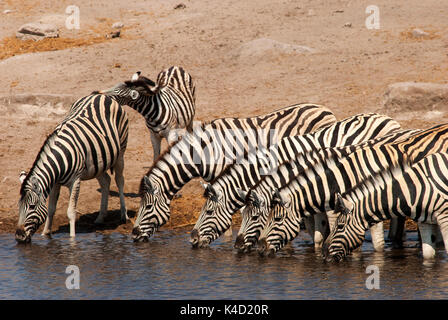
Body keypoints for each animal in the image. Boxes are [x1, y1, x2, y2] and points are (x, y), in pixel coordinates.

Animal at [15, 94, 128, 242]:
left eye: (32, 207)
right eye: (19, 206)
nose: (18, 236)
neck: (59, 161)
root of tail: (100, 95)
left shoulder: (75, 181)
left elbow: (71, 212)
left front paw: (72, 240)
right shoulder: (55, 182)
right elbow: (51, 209)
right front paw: (45, 234)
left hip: (121, 150)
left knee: (119, 180)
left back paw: (124, 215)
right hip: (98, 161)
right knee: (106, 181)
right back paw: (100, 218)